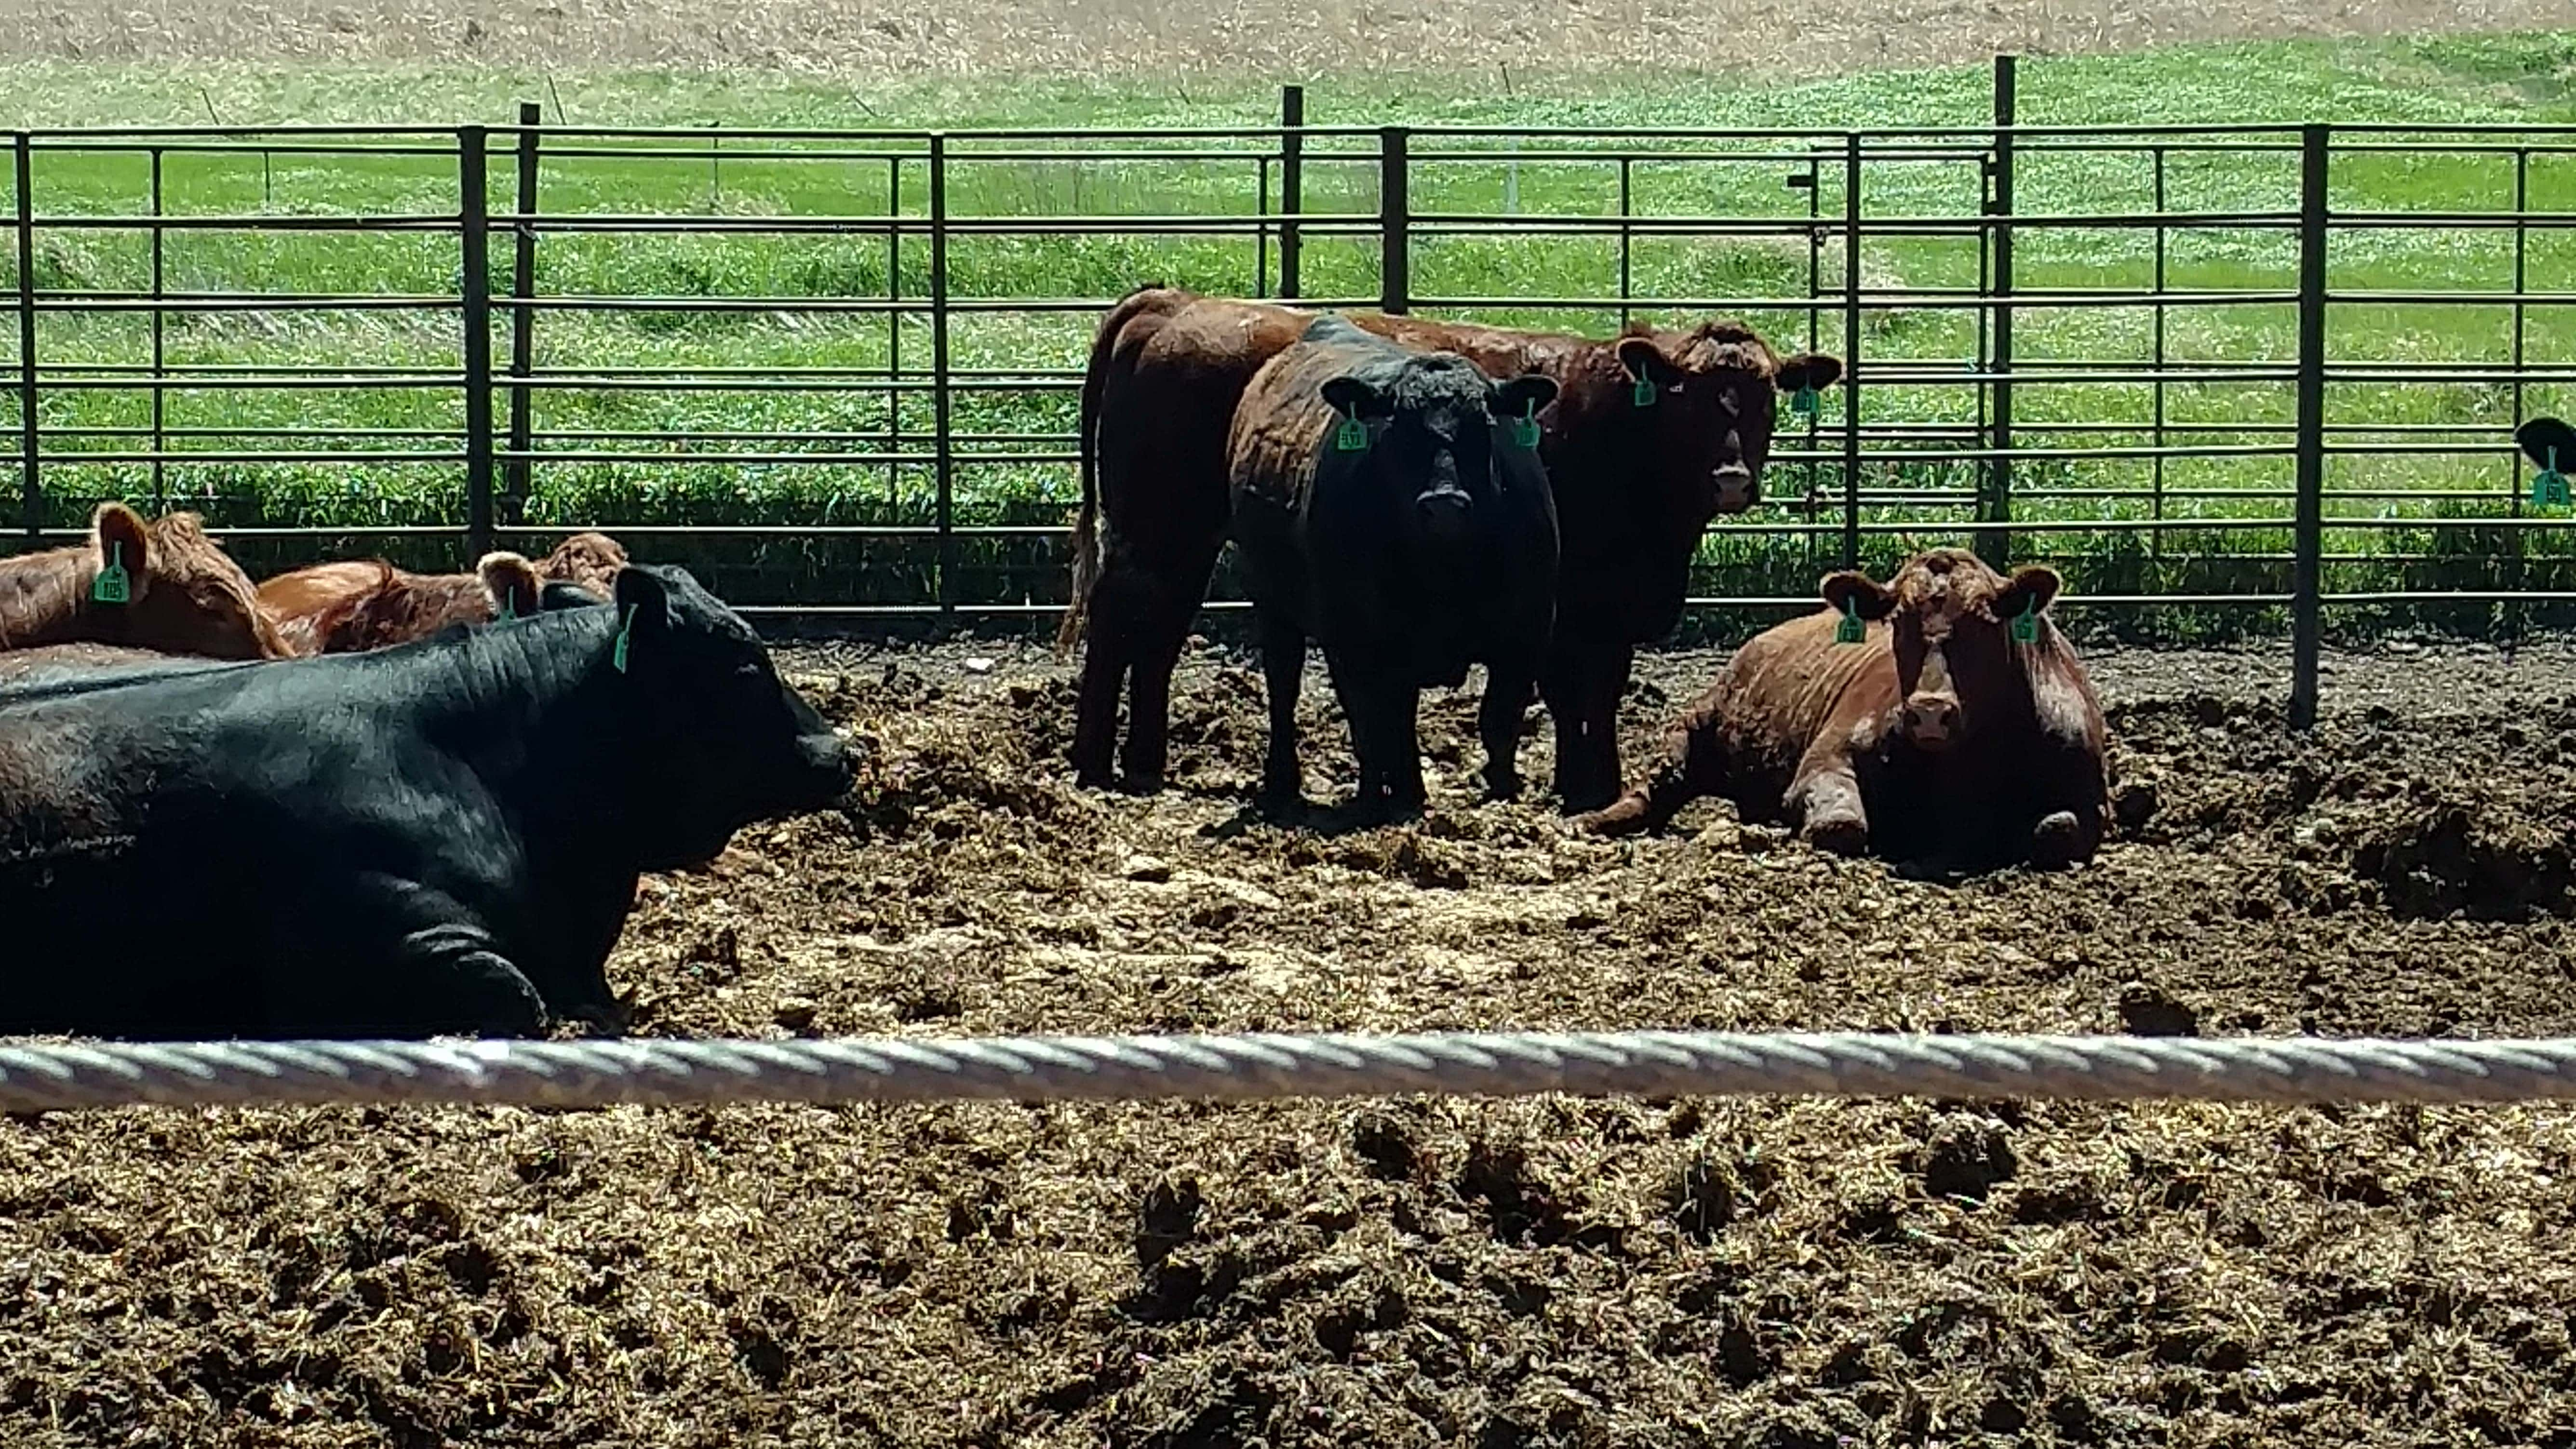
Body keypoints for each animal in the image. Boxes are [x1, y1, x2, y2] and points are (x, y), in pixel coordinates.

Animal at [1231, 314, 1566, 815]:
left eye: (1484, 426)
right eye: (1401, 431)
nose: (1444, 503)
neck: (1444, 571)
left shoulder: (1527, 629)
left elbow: (1498, 718)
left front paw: (1503, 788)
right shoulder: (1354, 638)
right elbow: (1376, 726)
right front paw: (1389, 797)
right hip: (1272, 603)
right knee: (1286, 687)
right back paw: (1290, 784)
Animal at [1566, 544, 2112, 866]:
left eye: (1985, 622)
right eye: (1898, 621)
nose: (1930, 711)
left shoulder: (2089, 796)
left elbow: (2056, 830)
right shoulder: (1824, 760)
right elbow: (1840, 825)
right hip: (1693, 727)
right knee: (1650, 793)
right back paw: (1586, 821)